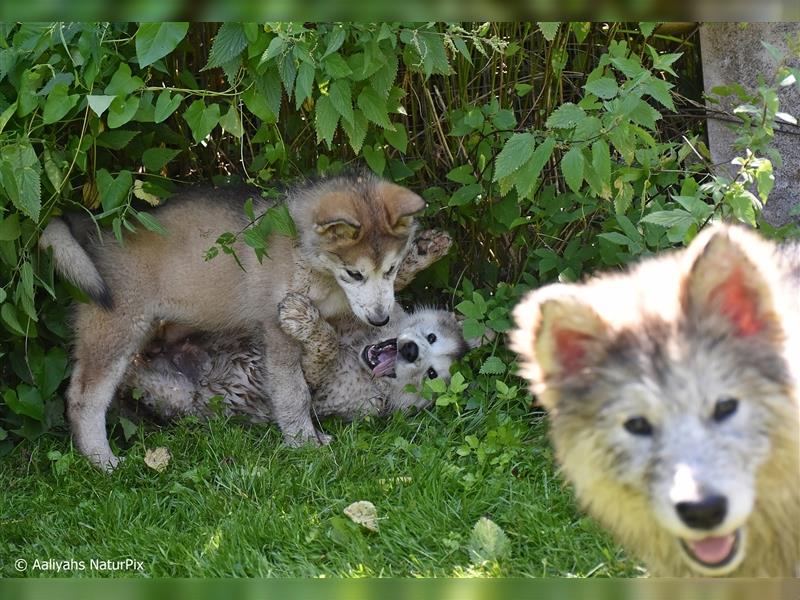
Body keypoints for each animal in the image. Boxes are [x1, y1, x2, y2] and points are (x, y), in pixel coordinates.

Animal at [37, 173, 424, 468]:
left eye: (390, 269)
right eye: (354, 273)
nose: (380, 320)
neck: (312, 261)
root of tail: (97, 229)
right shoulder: (277, 333)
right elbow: (293, 392)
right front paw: (302, 441)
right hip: (116, 332)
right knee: (83, 399)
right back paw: (102, 461)